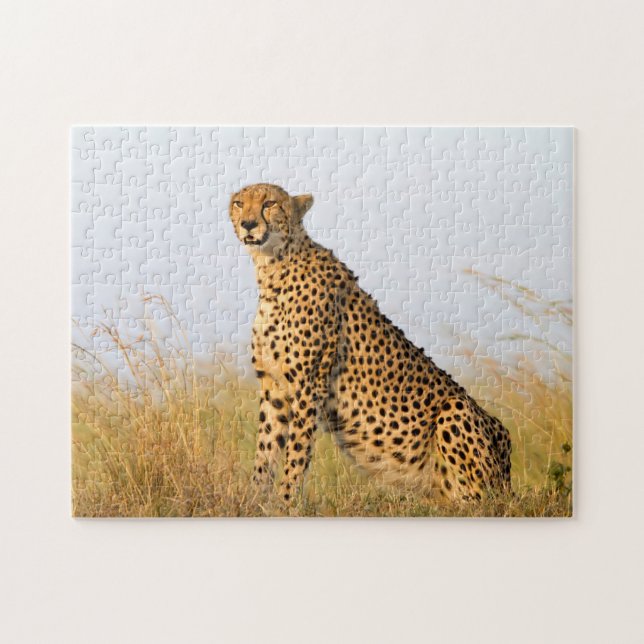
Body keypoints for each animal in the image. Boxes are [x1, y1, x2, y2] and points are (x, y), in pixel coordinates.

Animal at [228, 183, 512, 506]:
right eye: (239, 204)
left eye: (270, 203)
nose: (248, 224)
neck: (274, 265)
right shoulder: (273, 386)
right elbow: (265, 450)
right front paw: (252, 501)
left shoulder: (308, 386)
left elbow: (296, 453)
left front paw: (286, 503)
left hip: (456, 412)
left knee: (478, 500)